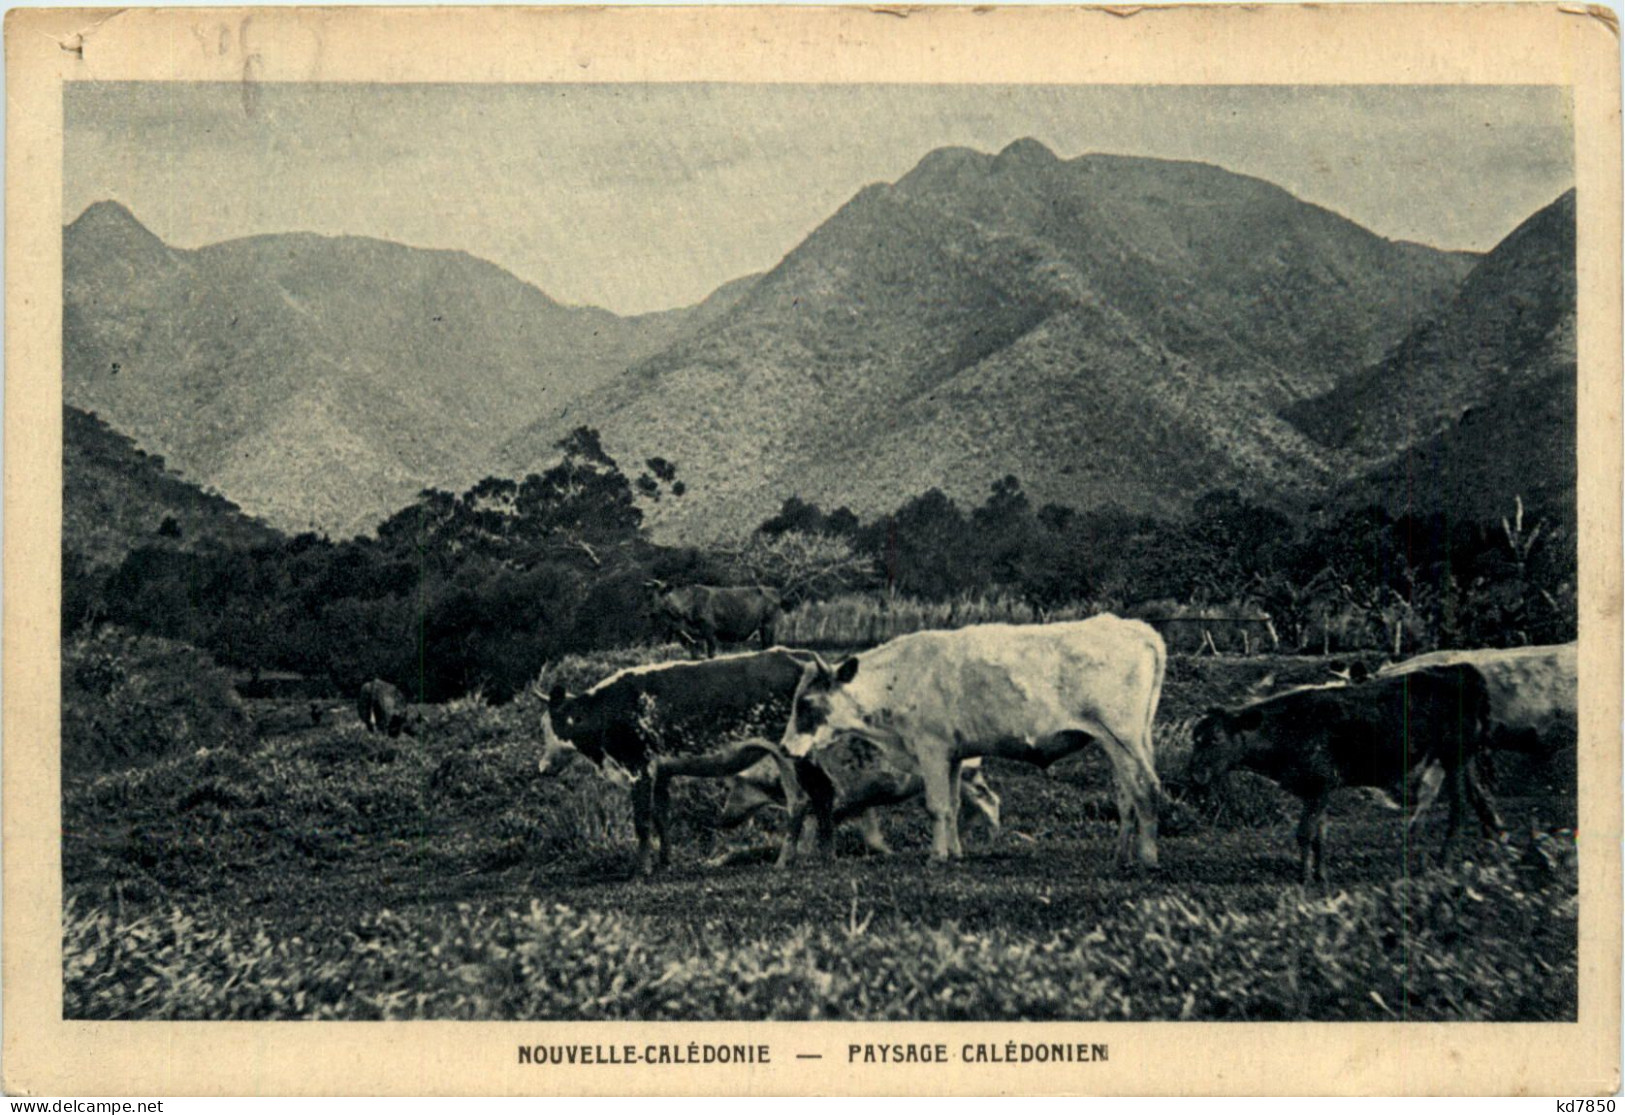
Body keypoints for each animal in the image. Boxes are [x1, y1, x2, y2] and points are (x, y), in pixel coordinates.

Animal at [542, 650, 825, 877]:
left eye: (547, 726)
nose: (542, 767)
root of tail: (796, 655)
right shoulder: (660, 773)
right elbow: (661, 818)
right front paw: (665, 863)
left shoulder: (638, 768)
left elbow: (642, 822)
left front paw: (640, 871)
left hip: (788, 753)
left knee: (801, 800)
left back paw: (787, 860)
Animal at [724, 741, 1001, 858]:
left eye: (734, 784)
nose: (721, 818)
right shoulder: (859, 799)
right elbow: (869, 828)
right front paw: (885, 851)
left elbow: (815, 826)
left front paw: (804, 854)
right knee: (967, 804)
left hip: (965, 773)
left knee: (988, 799)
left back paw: (991, 840)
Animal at [1189, 663, 1488, 884]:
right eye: (1195, 738)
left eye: (1215, 738)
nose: (1195, 775)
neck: (1287, 728)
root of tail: (1461, 669)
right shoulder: (1315, 789)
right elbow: (1319, 835)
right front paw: (1320, 875)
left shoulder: (1320, 784)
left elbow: (1305, 833)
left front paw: (1303, 878)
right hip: (1463, 759)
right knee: (1477, 797)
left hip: (1454, 757)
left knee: (1459, 808)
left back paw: (1443, 862)